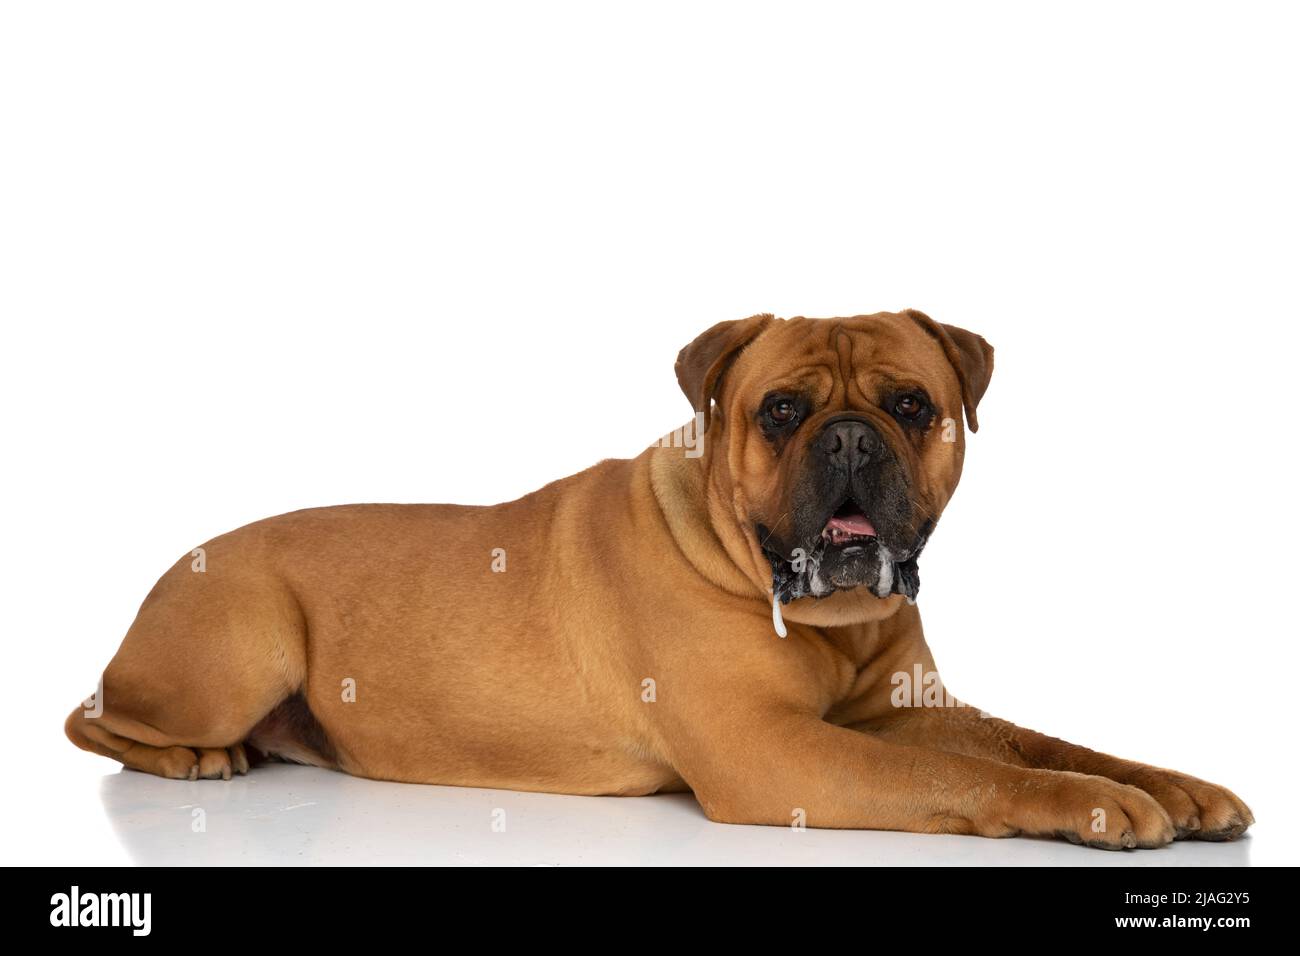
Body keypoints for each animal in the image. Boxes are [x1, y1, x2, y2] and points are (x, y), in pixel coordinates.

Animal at [65, 310, 1253, 848]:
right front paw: (1096, 806)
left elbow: (1038, 739)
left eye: (912, 404)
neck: (828, 618)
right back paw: (202, 757)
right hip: (244, 634)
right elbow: (968, 776)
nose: (850, 438)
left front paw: (1171, 784)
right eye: (782, 410)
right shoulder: (774, 753)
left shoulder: (907, 710)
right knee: (94, 721)